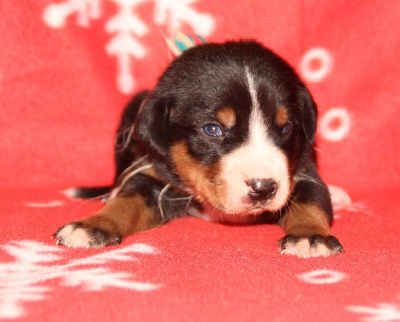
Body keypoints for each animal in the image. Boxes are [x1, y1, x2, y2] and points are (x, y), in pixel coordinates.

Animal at [54, 40, 344, 258]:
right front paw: (92, 226)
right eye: (213, 129)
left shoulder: (303, 172)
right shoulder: (151, 177)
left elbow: (310, 202)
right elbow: (126, 201)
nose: (263, 188)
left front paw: (310, 236)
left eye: (285, 129)